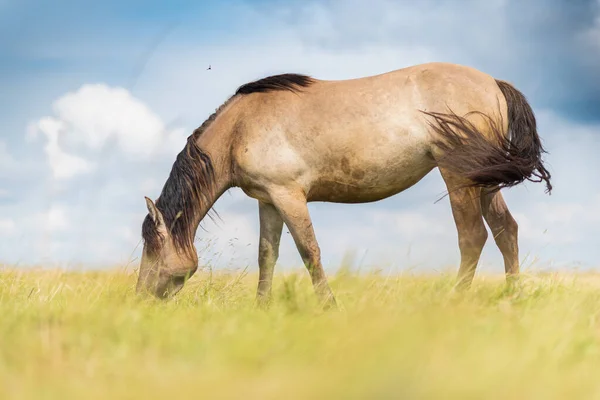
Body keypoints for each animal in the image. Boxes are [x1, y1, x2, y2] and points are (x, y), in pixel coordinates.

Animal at [138, 62, 552, 308]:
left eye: (152, 247)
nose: (139, 299)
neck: (241, 126)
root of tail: (494, 82)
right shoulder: (268, 201)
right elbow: (266, 255)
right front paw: (261, 308)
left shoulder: (289, 196)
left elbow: (309, 252)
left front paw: (328, 307)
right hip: (485, 181)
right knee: (505, 231)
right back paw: (512, 298)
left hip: (459, 177)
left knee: (473, 237)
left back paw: (453, 303)